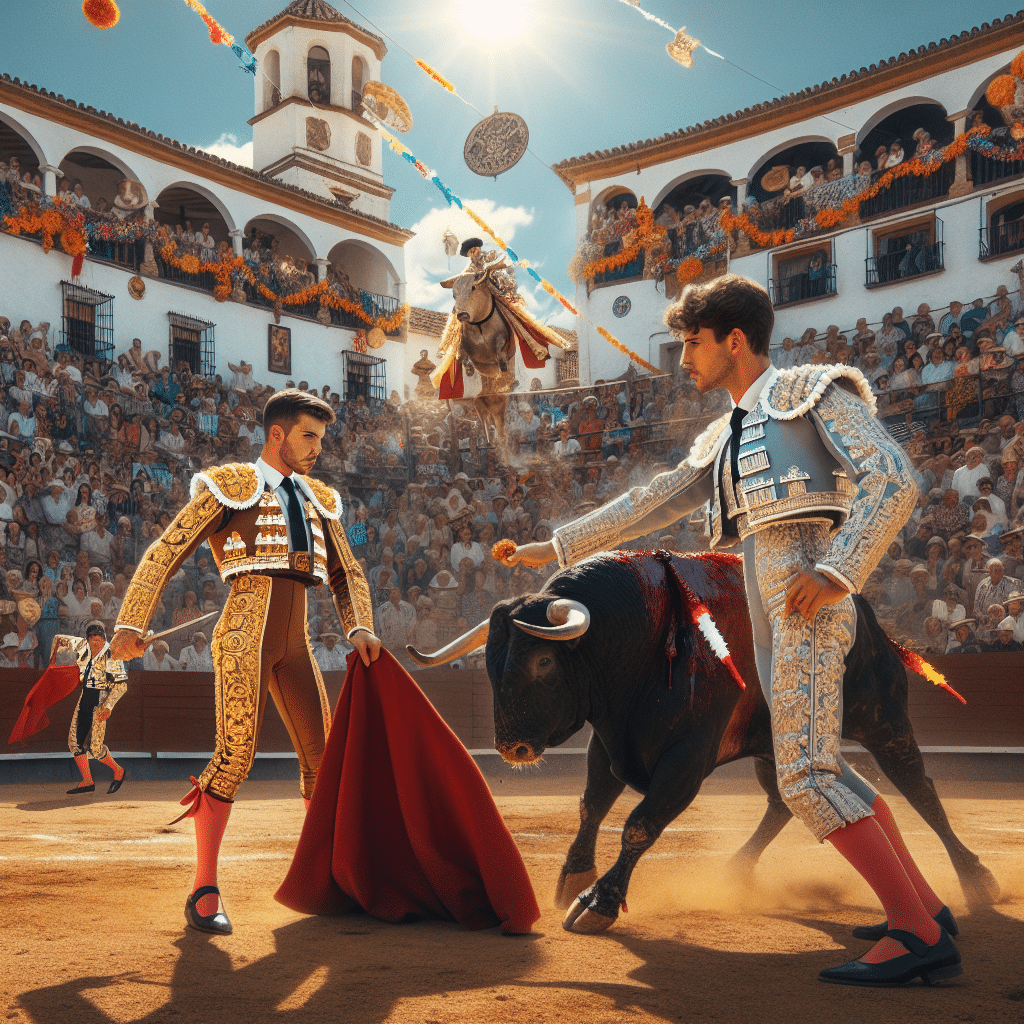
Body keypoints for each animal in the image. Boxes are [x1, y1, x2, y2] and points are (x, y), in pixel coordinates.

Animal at [481, 552, 999, 937]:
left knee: (919, 788)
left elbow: (639, 825)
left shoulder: (687, 758)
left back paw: (977, 879)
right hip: (775, 745)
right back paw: (735, 872)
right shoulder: (610, 744)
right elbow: (592, 805)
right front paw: (573, 878)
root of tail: (865, 612)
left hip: (884, 721)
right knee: (786, 802)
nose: (511, 747)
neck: (639, 639)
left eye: (544, 661)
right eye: (490, 661)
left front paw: (598, 904)